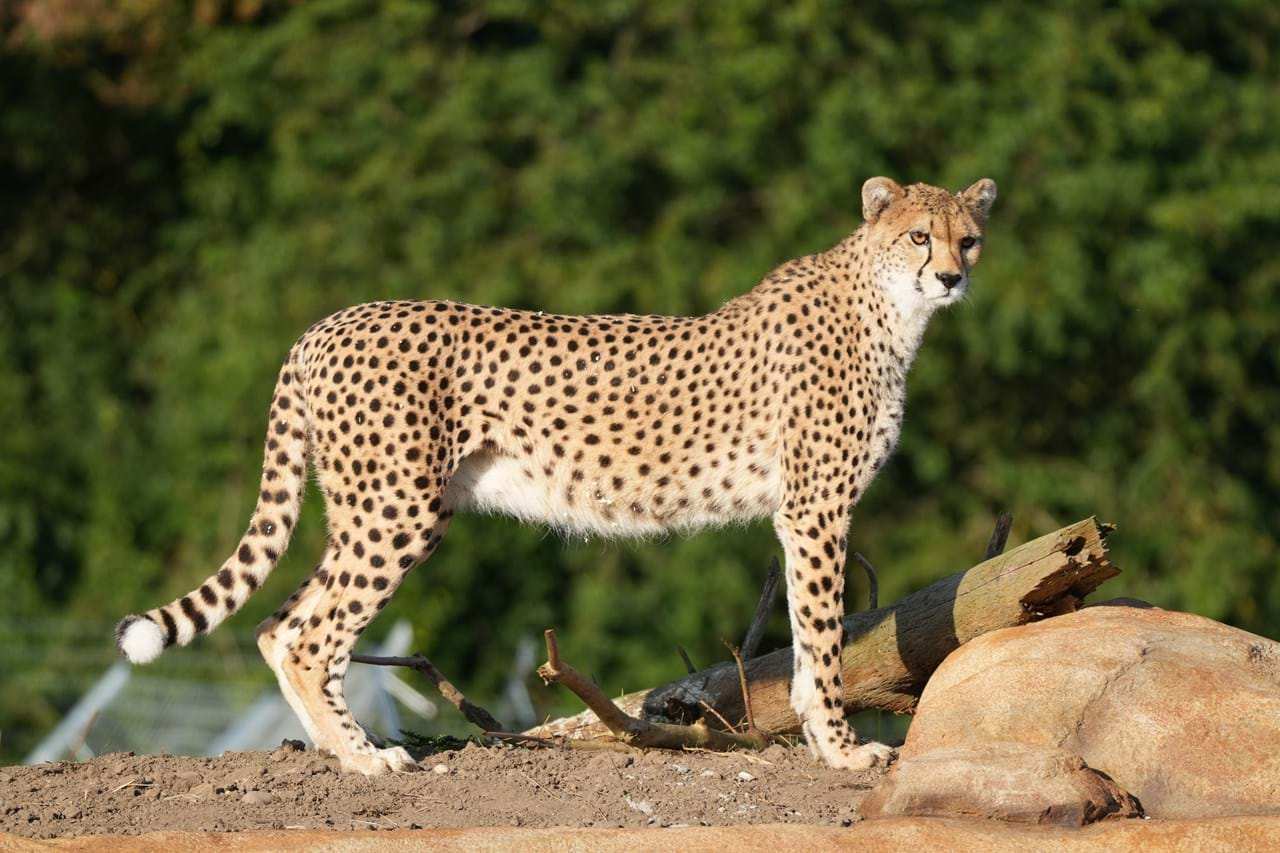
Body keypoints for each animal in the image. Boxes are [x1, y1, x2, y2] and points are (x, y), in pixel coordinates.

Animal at [117, 175, 998, 773]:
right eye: (918, 237)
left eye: (969, 239)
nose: (953, 278)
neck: (887, 306)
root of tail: (326, 323)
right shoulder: (817, 509)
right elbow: (822, 634)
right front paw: (843, 749)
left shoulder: (802, 514)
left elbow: (812, 640)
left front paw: (826, 740)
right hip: (399, 507)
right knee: (309, 633)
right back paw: (367, 757)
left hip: (364, 507)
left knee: (278, 622)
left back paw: (337, 748)